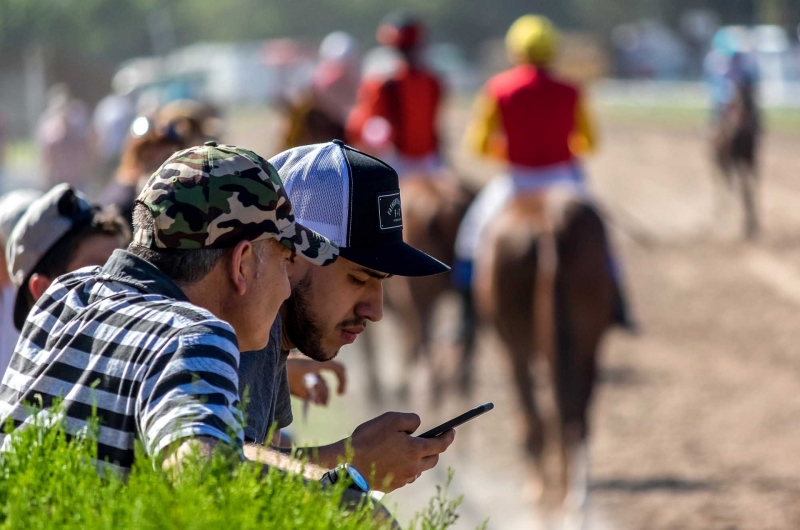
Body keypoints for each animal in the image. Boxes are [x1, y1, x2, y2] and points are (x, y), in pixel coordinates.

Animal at [478, 189, 616, 512]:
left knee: (537, 420)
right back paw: (576, 496)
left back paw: (540, 490)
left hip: (517, 347)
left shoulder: (513, 350)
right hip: (588, 343)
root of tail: (548, 221)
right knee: (575, 417)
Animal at [712, 79, 764, 239]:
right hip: (719, 162)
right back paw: (722, 220)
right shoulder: (735, 159)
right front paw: (747, 227)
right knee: (722, 186)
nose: (734, 131)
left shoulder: (751, 158)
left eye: (751, 101)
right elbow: (744, 188)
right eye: (735, 104)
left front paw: (756, 226)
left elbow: (752, 186)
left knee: (731, 186)